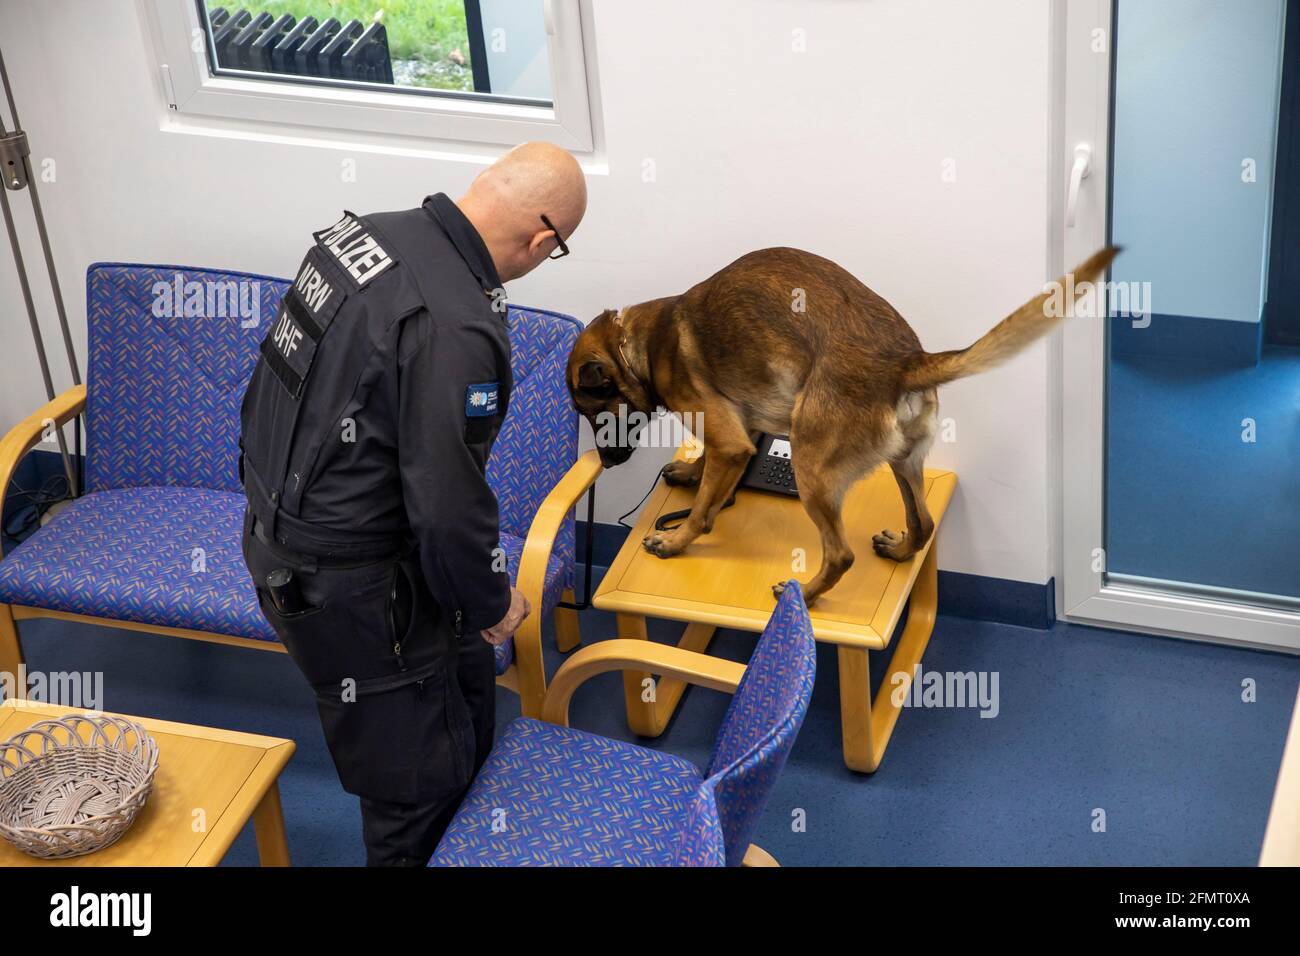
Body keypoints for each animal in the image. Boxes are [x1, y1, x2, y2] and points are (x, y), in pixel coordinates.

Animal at [566, 247, 1118, 606]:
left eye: (595, 415)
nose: (606, 462)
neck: (638, 345)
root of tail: (906, 362)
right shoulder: (739, 433)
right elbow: (711, 465)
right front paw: (690, 472)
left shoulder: (731, 441)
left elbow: (703, 511)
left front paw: (676, 540)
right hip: (902, 463)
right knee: (922, 523)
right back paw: (899, 548)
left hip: (811, 468)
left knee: (841, 555)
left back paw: (805, 594)